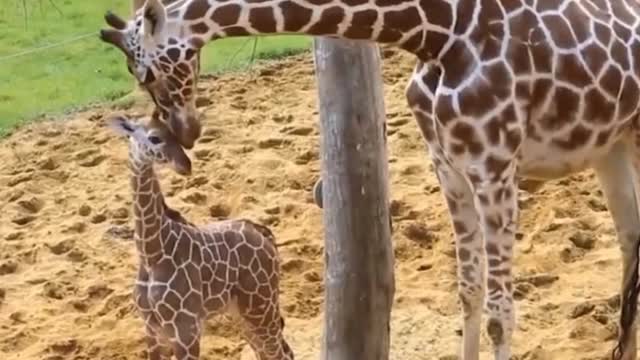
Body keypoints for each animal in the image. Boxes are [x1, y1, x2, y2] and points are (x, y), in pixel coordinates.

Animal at [106, 116, 294, 360]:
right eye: (154, 138)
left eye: (174, 135)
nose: (185, 165)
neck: (152, 252)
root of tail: (266, 236)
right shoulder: (152, 329)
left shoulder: (186, 329)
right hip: (243, 311)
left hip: (261, 305)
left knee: (278, 352)